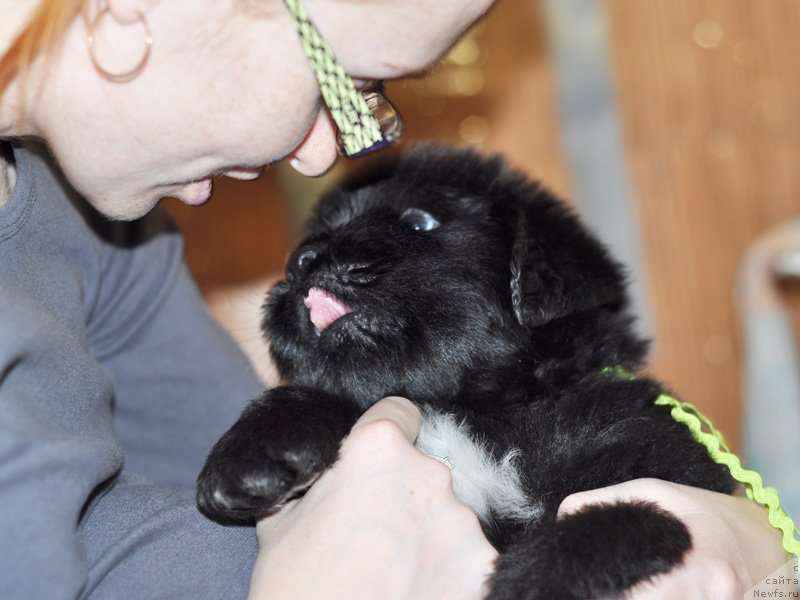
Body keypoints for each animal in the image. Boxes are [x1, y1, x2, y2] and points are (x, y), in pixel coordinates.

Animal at [197, 146, 736, 600]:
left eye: (419, 222)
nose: (300, 260)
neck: (473, 410)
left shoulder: (670, 467)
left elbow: (623, 520)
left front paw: (533, 579)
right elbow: (321, 394)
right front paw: (253, 450)